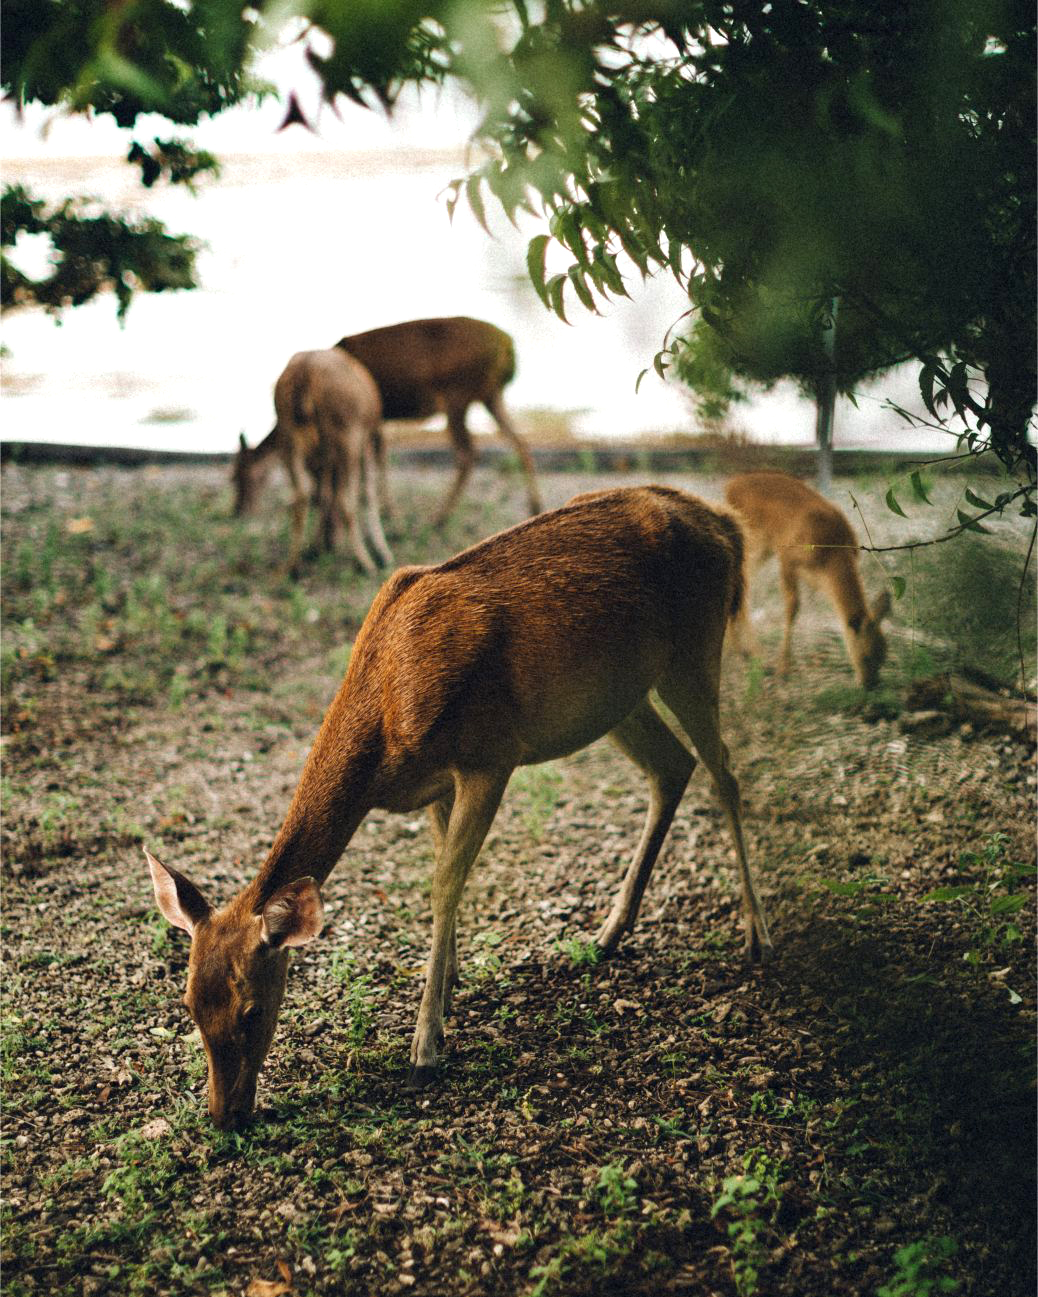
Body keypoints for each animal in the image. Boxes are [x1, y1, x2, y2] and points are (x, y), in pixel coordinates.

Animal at [147, 485, 772, 1130]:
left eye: (250, 1010)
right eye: (188, 1003)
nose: (224, 1114)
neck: (387, 729)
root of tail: (727, 525)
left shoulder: (489, 756)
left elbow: (445, 884)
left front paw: (425, 1046)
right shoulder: (435, 784)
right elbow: (443, 872)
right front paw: (448, 987)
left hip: (696, 648)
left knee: (725, 771)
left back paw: (757, 934)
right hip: (616, 698)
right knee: (672, 767)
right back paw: (608, 932)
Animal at [233, 348, 393, 576]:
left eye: (240, 475)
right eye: (234, 477)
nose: (238, 510)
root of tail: (304, 374)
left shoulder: (321, 458)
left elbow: (323, 494)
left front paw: (321, 545)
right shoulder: (366, 439)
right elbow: (365, 493)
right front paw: (382, 552)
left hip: (291, 438)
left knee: (302, 494)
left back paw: (292, 565)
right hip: (347, 434)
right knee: (347, 499)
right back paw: (365, 562)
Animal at [334, 316, 543, 526]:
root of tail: (508, 346)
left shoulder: (371, 416)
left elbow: (373, 459)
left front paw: (389, 512)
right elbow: (378, 456)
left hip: (458, 393)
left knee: (467, 453)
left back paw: (439, 518)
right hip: (490, 396)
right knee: (520, 442)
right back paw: (535, 506)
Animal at [724, 470, 891, 688]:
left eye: (884, 656)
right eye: (866, 656)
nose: (870, 685)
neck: (831, 552)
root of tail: (729, 485)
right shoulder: (787, 557)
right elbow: (793, 608)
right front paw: (783, 670)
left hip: (763, 547)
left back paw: (738, 649)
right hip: (755, 540)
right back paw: (753, 653)